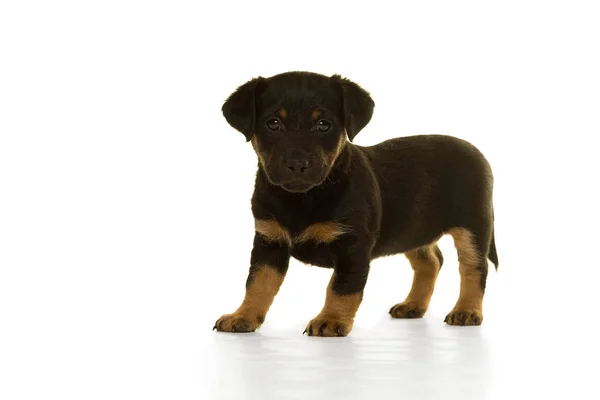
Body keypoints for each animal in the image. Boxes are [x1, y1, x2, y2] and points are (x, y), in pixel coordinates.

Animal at [214, 72, 496, 338]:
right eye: (273, 123)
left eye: (323, 125)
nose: (296, 164)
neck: (303, 197)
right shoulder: (269, 241)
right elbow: (257, 283)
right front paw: (243, 316)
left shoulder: (353, 246)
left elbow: (341, 288)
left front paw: (330, 320)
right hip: (414, 229)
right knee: (430, 262)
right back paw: (413, 305)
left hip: (472, 226)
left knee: (474, 268)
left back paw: (466, 310)